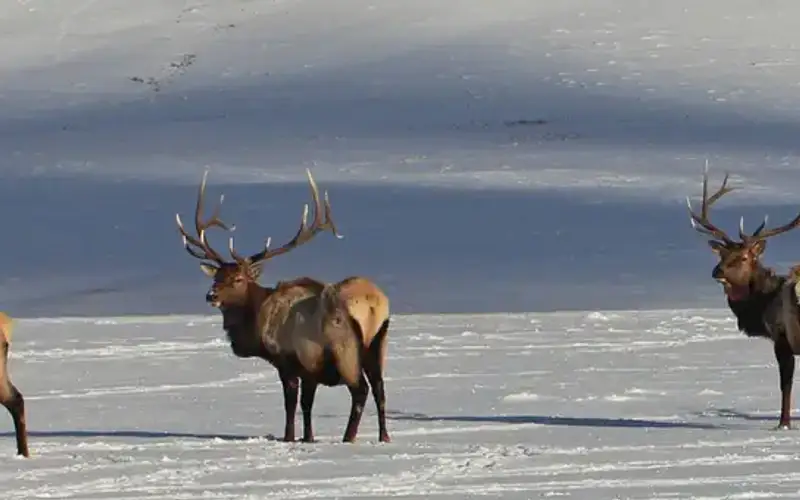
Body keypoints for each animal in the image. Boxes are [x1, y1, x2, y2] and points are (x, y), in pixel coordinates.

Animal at [175, 170, 392, 443]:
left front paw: (289, 437)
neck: (257, 322)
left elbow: (291, 405)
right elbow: (307, 407)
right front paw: (308, 438)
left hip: (345, 347)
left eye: (238, 279)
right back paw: (384, 437)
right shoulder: (310, 369)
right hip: (378, 343)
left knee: (360, 390)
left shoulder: (290, 360)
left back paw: (348, 438)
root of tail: (373, 305)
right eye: (217, 277)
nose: (210, 295)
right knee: (380, 388)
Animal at [687, 166, 800, 430]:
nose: (716, 272)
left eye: (744, 257)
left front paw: (783, 425)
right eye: (722, 254)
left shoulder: (782, 335)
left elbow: (785, 384)